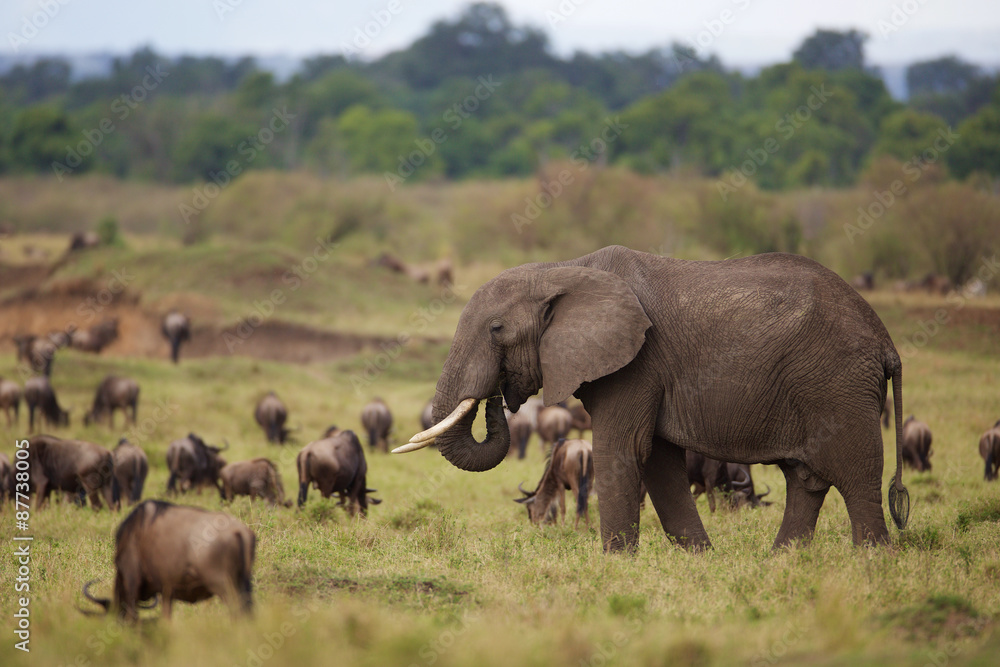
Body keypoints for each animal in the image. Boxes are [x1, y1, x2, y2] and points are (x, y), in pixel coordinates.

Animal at [394, 245, 912, 552]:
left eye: (497, 329)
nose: (499, 396)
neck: (562, 269)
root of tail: (886, 341)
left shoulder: (636, 362)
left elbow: (623, 450)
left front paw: (614, 562)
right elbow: (658, 460)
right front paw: (699, 557)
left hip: (838, 384)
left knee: (855, 471)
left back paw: (871, 560)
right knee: (806, 477)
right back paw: (783, 559)